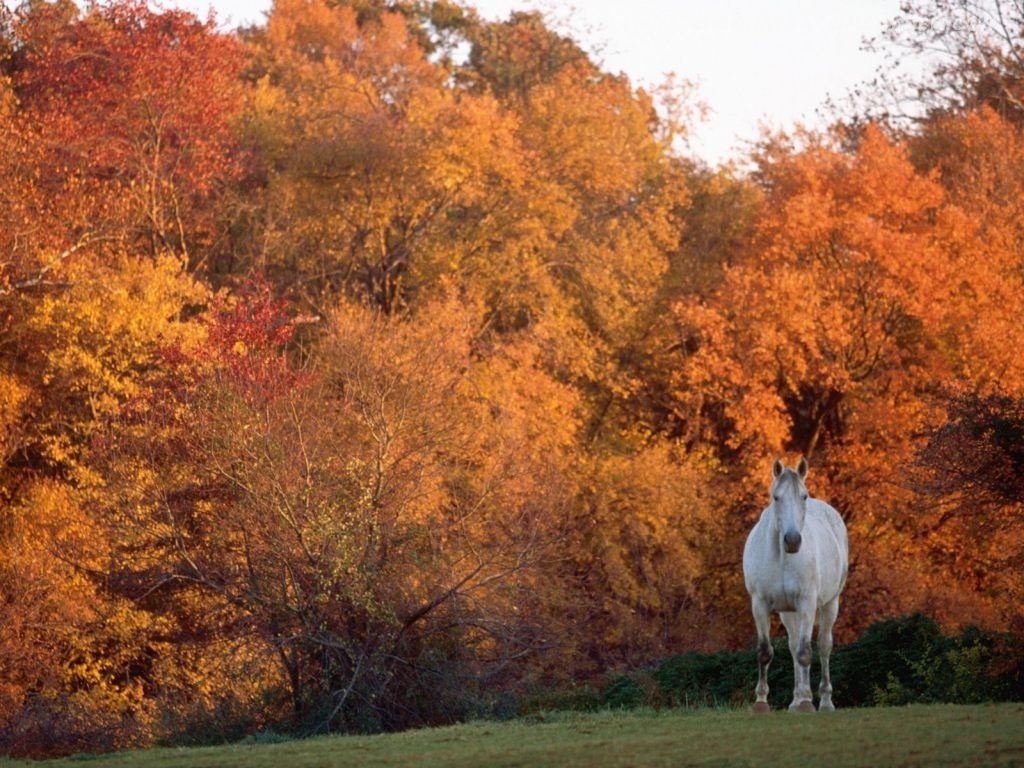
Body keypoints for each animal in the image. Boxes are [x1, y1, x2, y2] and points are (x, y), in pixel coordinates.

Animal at [745, 456, 847, 716]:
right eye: (776, 497)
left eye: (803, 496)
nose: (792, 541)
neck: (782, 556)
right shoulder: (759, 604)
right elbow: (765, 652)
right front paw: (761, 702)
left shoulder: (807, 603)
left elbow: (805, 653)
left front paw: (807, 703)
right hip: (788, 612)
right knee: (792, 646)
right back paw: (796, 699)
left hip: (830, 604)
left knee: (823, 646)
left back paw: (823, 701)